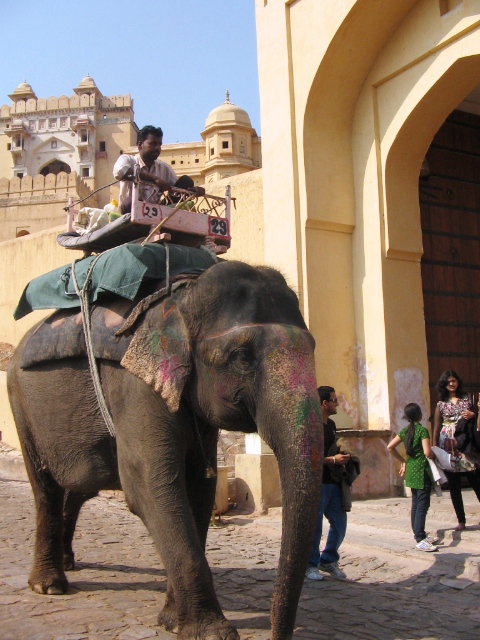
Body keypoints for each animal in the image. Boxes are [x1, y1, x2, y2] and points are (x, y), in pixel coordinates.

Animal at [6, 260, 322, 640]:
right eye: (242, 357)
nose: (278, 633)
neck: (183, 299)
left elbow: (199, 486)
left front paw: (172, 620)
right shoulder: (133, 384)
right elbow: (149, 484)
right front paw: (210, 632)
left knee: (80, 486)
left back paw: (68, 563)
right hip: (20, 404)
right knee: (46, 487)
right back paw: (49, 586)